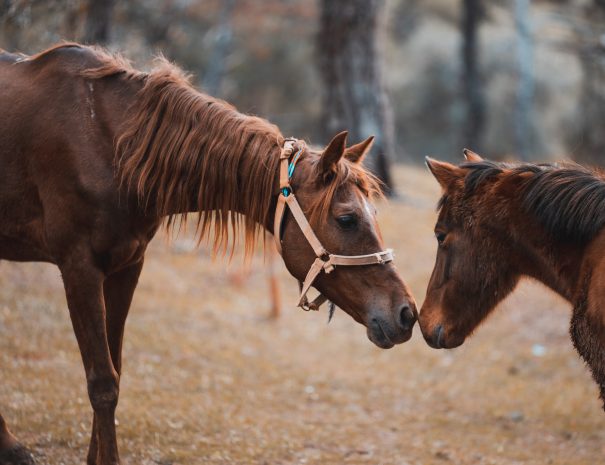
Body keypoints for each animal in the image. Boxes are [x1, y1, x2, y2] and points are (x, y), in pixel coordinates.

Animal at [0, 44, 416, 464]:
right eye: (347, 219)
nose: (407, 313)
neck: (111, 146)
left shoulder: (126, 266)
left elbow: (113, 368)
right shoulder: (79, 268)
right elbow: (102, 381)